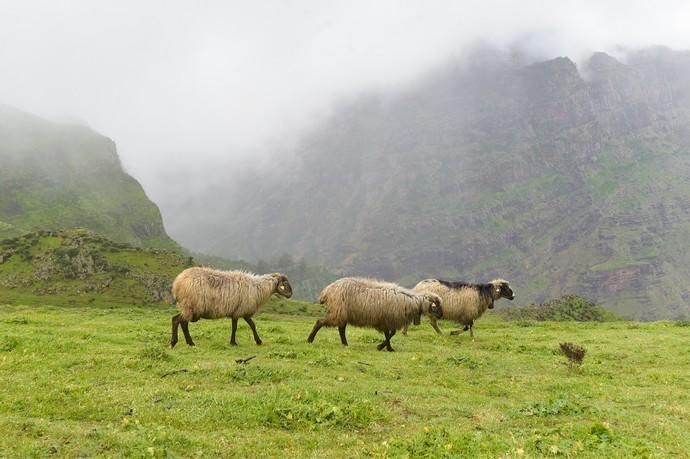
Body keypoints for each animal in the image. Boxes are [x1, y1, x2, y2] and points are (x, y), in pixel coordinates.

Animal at [306, 276, 440, 352]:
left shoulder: (386, 320)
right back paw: (309, 340)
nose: (440, 316)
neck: (411, 301)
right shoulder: (388, 319)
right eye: (435, 308)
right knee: (320, 322)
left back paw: (345, 344)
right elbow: (390, 334)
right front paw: (383, 347)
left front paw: (387, 348)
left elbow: (389, 334)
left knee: (341, 329)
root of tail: (327, 290)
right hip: (338, 311)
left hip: (341, 313)